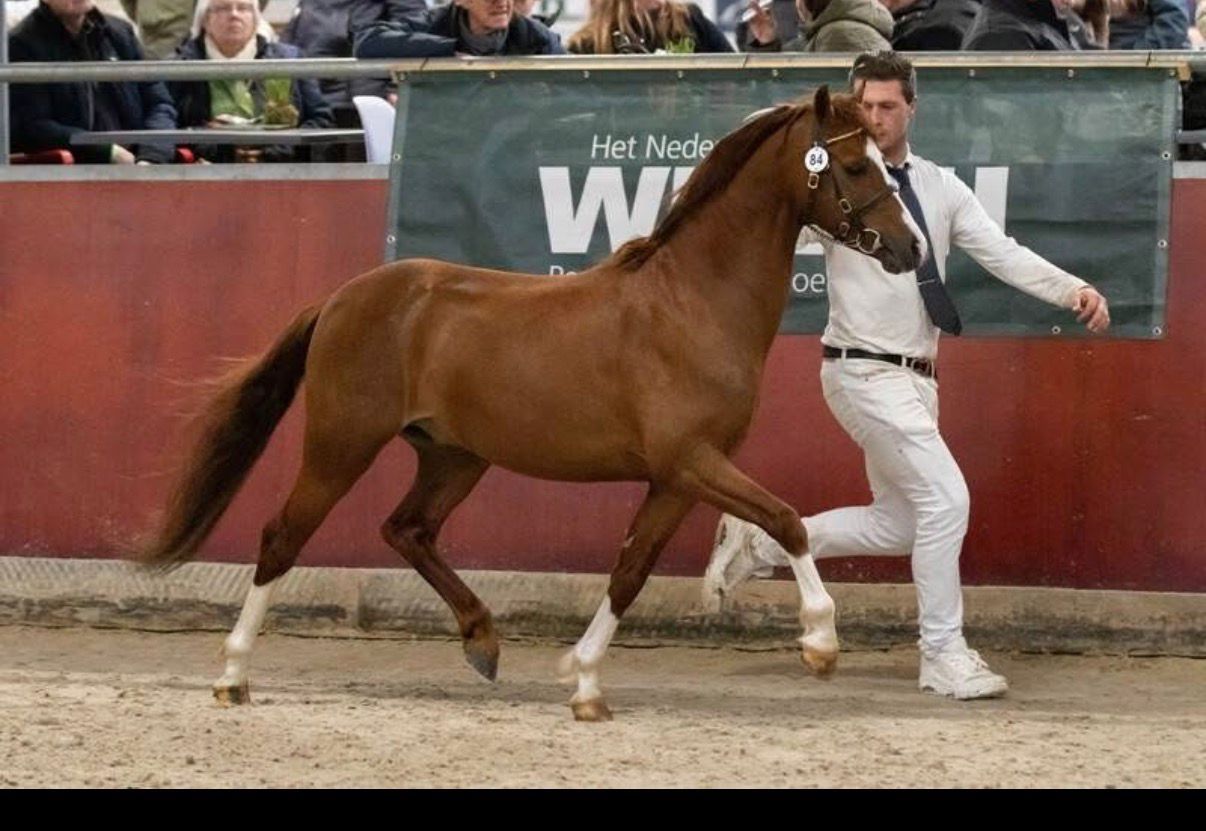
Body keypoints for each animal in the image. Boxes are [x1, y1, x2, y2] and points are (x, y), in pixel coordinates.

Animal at [137, 86, 924, 721]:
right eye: (857, 168)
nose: (911, 249)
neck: (691, 302)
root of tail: (341, 297)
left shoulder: (676, 478)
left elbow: (631, 570)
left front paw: (585, 683)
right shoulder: (691, 460)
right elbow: (786, 521)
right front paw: (820, 642)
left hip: (454, 456)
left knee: (407, 529)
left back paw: (483, 641)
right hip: (341, 443)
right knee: (283, 537)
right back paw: (233, 675)